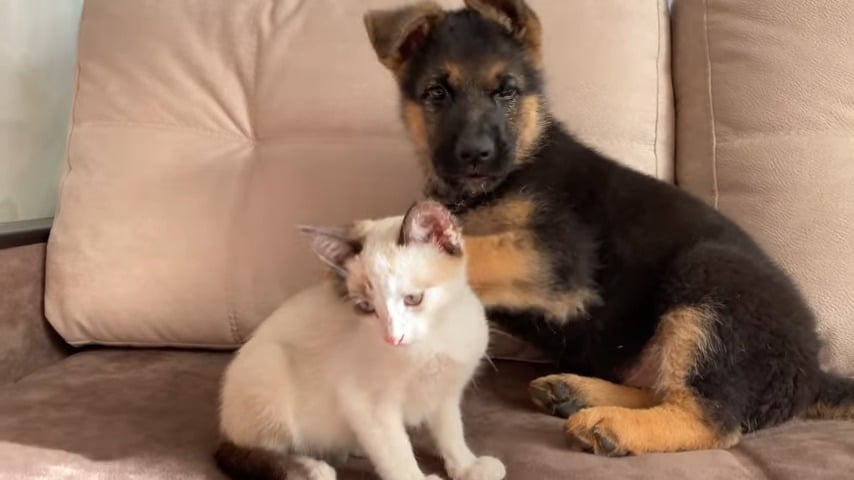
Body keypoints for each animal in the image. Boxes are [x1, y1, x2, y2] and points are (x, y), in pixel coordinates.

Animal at [217, 201, 504, 480]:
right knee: (254, 449)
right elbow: (397, 451)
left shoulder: (444, 392)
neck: (431, 344)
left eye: (413, 299)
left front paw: (468, 466)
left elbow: (450, 432)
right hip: (269, 368)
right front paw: (417, 475)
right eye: (367, 307)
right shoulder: (369, 404)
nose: (393, 338)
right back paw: (312, 468)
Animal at [364, 0, 854, 458]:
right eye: (436, 93)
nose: (475, 155)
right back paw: (578, 392)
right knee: (665, 387)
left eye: (506, 91)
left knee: (709, 417)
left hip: (712, 277)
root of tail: (814, 371)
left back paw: (613, 423)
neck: (507, 175)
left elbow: (472, 251)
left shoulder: (561, 253)